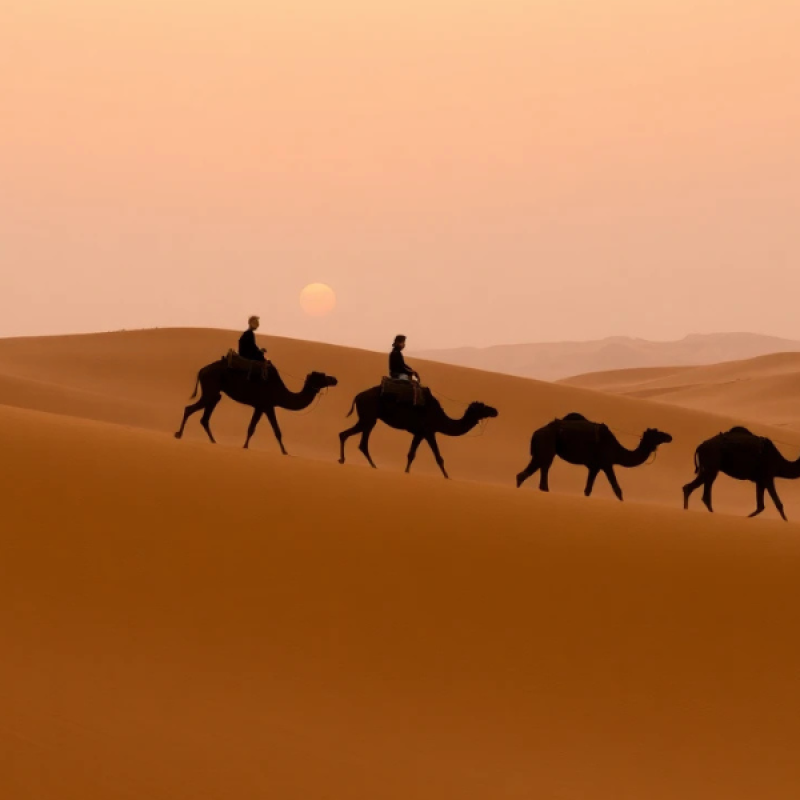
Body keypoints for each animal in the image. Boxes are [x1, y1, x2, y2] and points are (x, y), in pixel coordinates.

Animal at [175, 358, 338, 454]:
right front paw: (284, 452)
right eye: (322, 376)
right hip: (210, 389)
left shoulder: (262, 407)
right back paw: (179, 434)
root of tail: (201, 370)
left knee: (204, 417)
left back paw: (213, 441)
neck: (280, 392)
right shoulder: (265, 406)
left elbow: (257, 428)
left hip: (215, 394)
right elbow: (271, 430)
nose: (335, 379)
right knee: (190, 409)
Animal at [340, 386, 500, 478]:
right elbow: (438, 457)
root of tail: (358, 396)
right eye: (483, 407)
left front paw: (406, 472)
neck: (440, 418)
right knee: (354, 438)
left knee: (355, 440)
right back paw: (362, 464)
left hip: (369, 419)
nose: (495, 411)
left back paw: (359, 463)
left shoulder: (419, 433)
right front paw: (447, 477)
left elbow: (411, 454)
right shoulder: (428, 432)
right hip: (368, 417)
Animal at [516, 412, 672, 500]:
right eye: (657, 433)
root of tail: (535, 433)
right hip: (546, 448)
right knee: (536, 474)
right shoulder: (606, 463)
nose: (669, 437)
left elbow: (588, 490)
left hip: (542, 452)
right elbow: (617, 489)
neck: (617, 450)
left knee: (529, 474)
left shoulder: (594, 467)